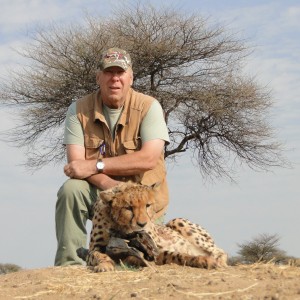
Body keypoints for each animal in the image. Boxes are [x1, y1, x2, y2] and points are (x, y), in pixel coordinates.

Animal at [85, 180, 226, 272]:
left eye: (147, 205)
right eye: (128, 208)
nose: (142, 224)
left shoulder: (153, 250)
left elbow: (175, 255)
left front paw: (203, 260)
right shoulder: (95, 248)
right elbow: (98, 255)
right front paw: (105, 265)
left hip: (176, 221)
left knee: (219, 250)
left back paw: (220, 261)